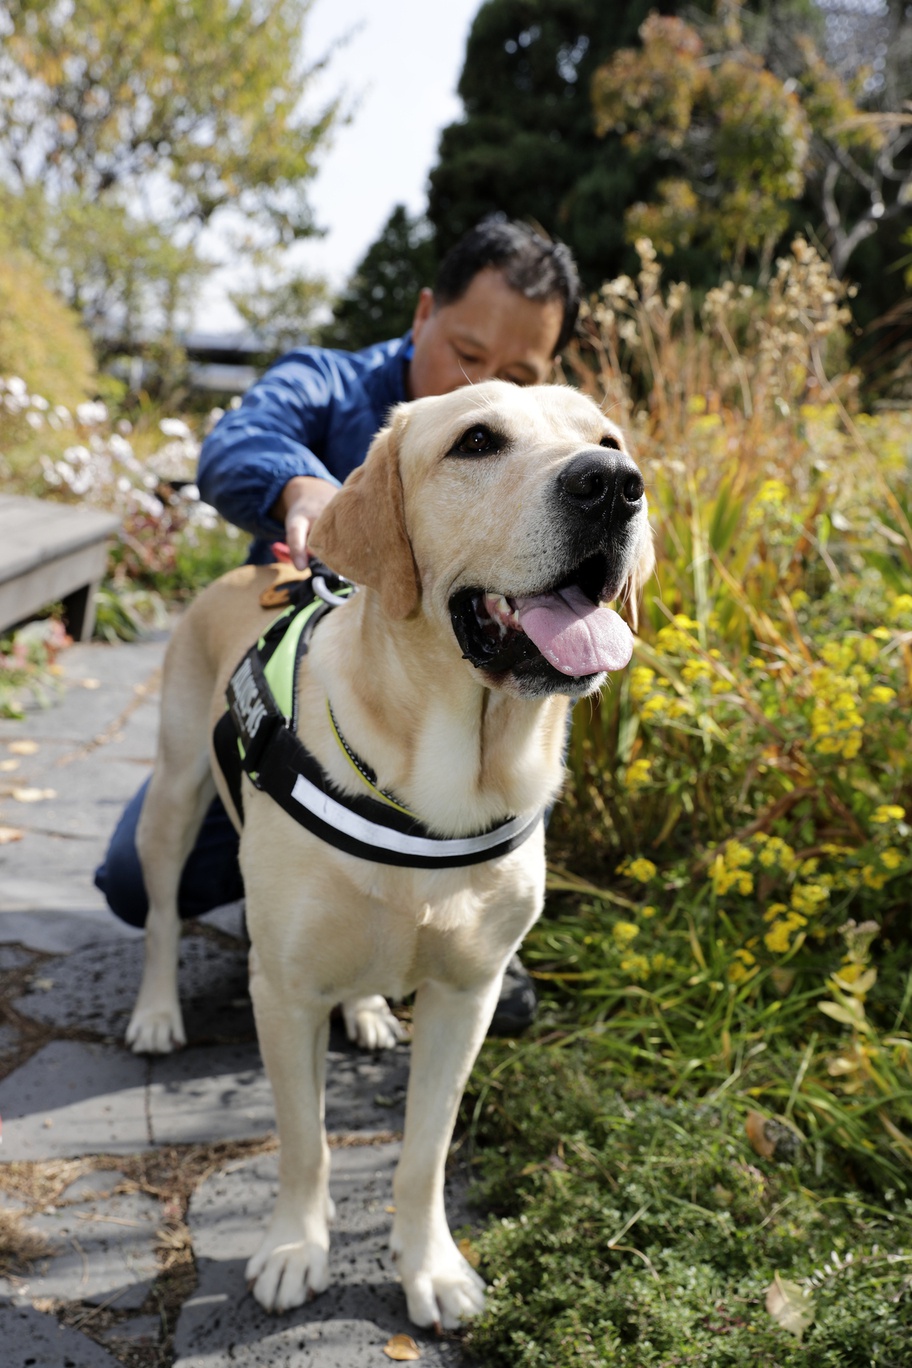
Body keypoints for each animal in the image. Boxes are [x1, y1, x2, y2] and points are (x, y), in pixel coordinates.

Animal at [125, 380, 653, 1329]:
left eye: (609, 438)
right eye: (476, 442)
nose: (613, 485)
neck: (441, 785)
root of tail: (258, 569)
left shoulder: (467, 996)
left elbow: (423, 1153)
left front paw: (431, 1268)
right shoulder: (283, 992)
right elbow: (306, 1144)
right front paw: (294, 1249)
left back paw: (368, 1010)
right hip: (174, 794)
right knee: (158, 912)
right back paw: (155, 1015)